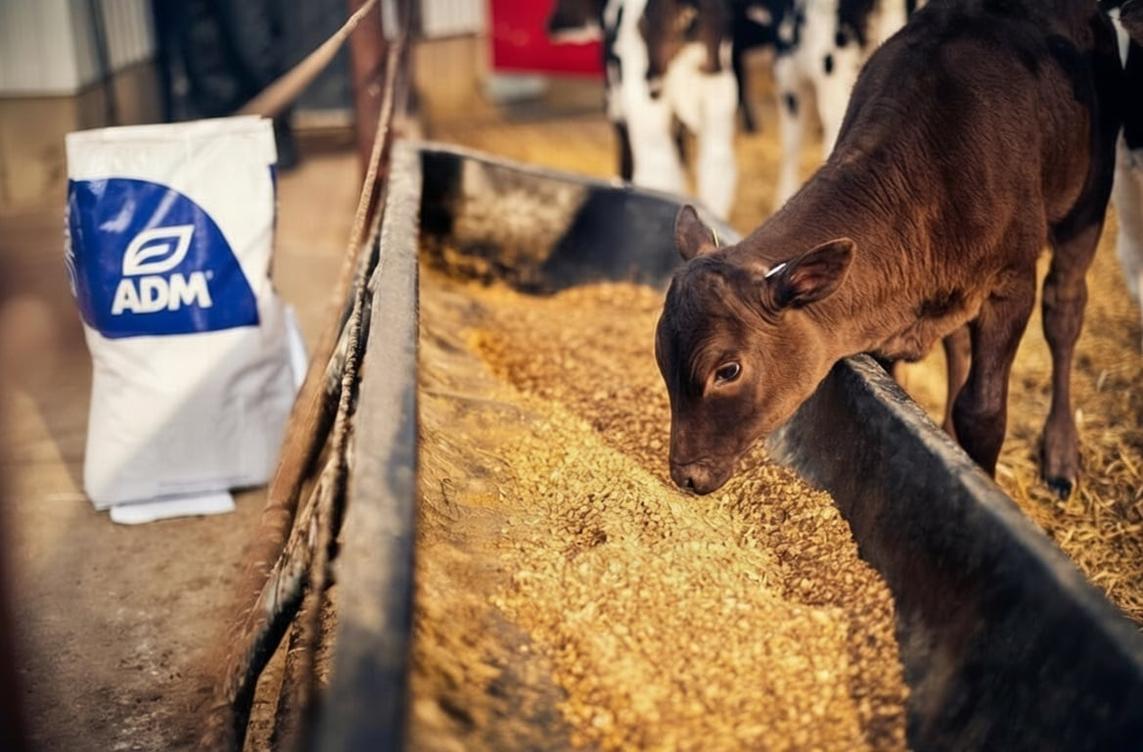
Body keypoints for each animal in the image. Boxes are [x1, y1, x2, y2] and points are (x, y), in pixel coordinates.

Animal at [655, 0, 1121, 499]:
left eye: (728, 370)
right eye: (661, 358)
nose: (686, 475)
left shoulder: (1011, 280)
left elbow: (983, 410)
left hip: (1090, 196)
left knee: (1064, 309)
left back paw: (1060, 455)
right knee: (959, 340)